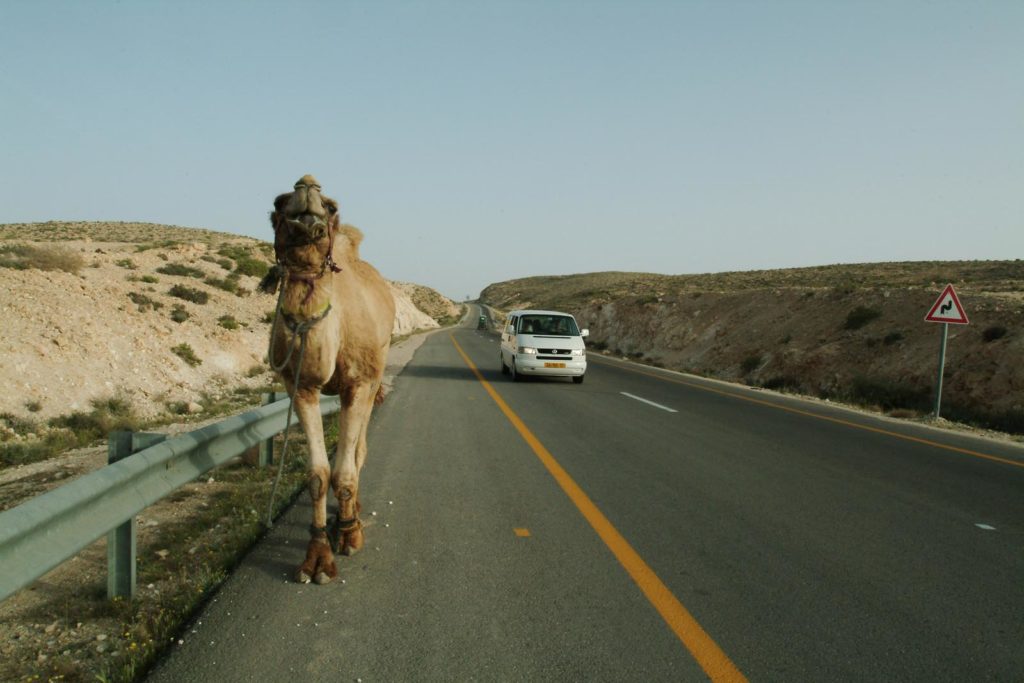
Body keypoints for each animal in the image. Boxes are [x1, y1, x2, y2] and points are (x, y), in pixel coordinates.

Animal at [264, 174, 395, 585]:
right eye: (279, 202)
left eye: (332, 206)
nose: (306, 185)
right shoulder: (300, 387)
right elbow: (319, 475)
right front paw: (317, 557)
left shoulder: (359, 383)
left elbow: (345, 469)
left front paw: (349, 534)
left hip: (375, 375)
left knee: (358, 451)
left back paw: (353, 514)